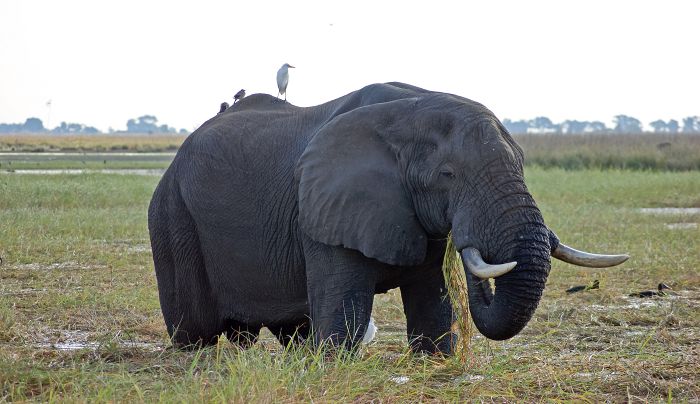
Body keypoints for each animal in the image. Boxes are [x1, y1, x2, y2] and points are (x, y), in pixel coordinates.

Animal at [149, 82, 628, 354]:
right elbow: (343, 318)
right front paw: (333, 364)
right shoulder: (325, 205)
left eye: (523, 164)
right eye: (448, 175)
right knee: (197, 329)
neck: (412, 108)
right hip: (172, 214)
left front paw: (435, 361)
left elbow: (432, 303)